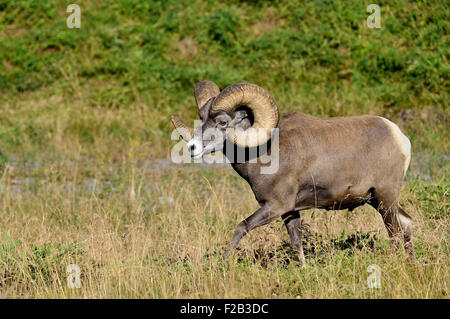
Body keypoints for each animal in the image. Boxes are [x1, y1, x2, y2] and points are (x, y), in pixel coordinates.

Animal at [171, 80, 414, 264]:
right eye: (201, 118)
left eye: (222, 122)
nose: (192, 147)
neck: (265, 152)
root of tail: (400, 137)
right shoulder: (290, 212)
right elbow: (296, 244)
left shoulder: (276, 205)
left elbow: (242, 227)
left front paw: (223, 262)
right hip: (376, 199)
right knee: (407, 224)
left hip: (385, 198)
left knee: (395, 232)